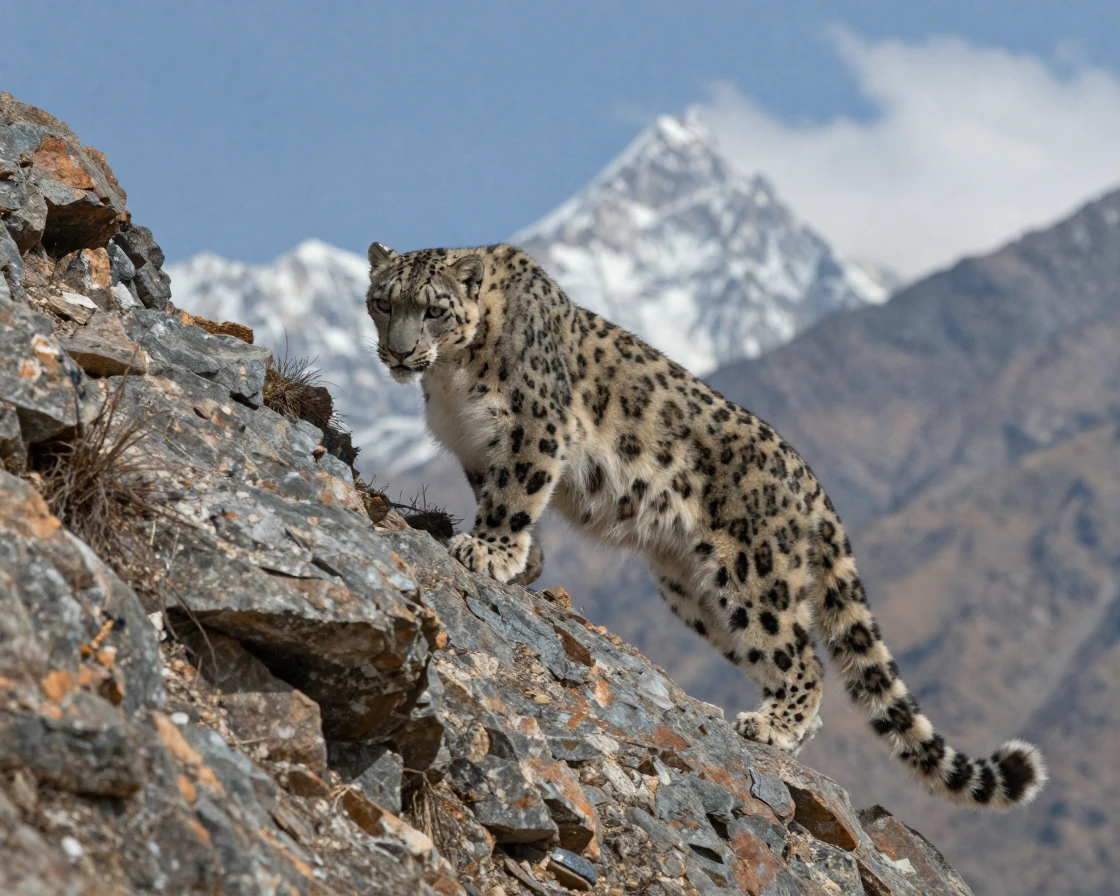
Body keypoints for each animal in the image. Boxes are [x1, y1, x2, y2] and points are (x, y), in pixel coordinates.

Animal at [365, 240, 1046, 809]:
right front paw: (523, 560)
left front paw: (490, 552)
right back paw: (781, 729)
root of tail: (812, 486)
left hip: (754, 575)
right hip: (696, 594)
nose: (397, 350)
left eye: (433, 310)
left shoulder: (533, 430)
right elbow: (500, 496)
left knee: (805, 658)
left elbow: (515, 495)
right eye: (382, 302)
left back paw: (772, 727)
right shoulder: (477, 450)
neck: (449, 380)